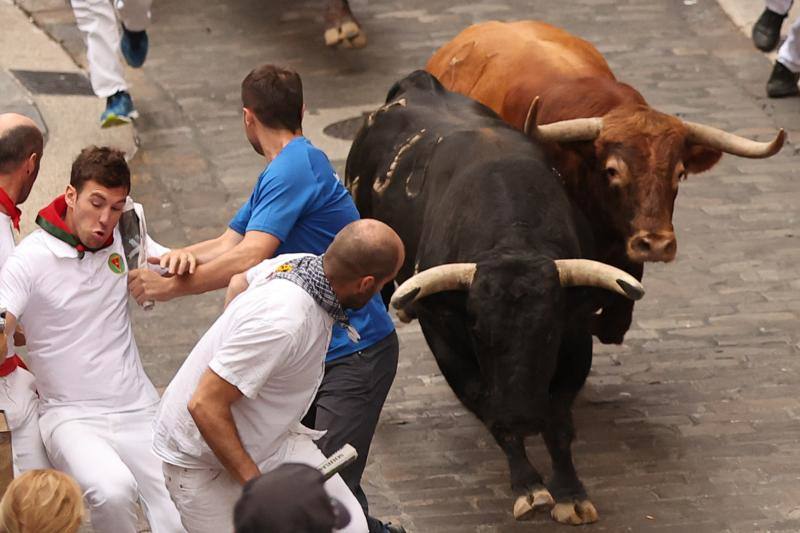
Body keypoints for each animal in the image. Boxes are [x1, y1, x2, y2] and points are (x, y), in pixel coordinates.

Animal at [346, 70, 648, 524]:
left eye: (548, 331)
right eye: (477, 329)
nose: (522, 416)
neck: (512, 239)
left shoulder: (575, 339)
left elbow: (560, 420)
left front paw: (570, 492)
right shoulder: (443, 335)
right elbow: (482, 401)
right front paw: (528, 484)